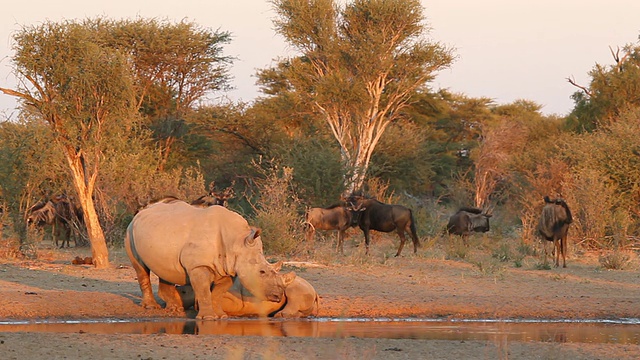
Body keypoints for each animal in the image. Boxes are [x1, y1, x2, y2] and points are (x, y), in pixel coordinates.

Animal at [124, 200, 296, 320]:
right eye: (262, 272)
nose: (278, 296)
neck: (237, 241)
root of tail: (140, 212)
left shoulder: (229, 269)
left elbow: (218, 293)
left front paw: (221, 316)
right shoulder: (198, 266)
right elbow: (203, 290)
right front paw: (207, 318)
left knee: (164, 269)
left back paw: (174, 309)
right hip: (130, 231)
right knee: (140, 268)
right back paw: (151, 308)